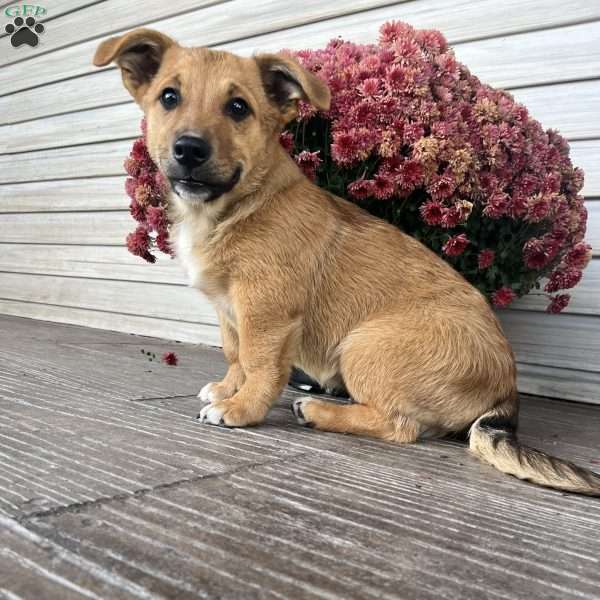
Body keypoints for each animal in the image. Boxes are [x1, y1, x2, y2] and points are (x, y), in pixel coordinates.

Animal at [94, 29, 600, 496]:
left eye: (238, 108)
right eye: (169, 97)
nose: (189, 149)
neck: (236, 207)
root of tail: (506, 394)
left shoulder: (267, 312)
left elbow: (260, 364)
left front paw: (240, 408)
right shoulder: (229, 310)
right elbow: (236, 354)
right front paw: (226, 388)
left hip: (365, 345)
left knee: (401, 427)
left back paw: (318, 411)